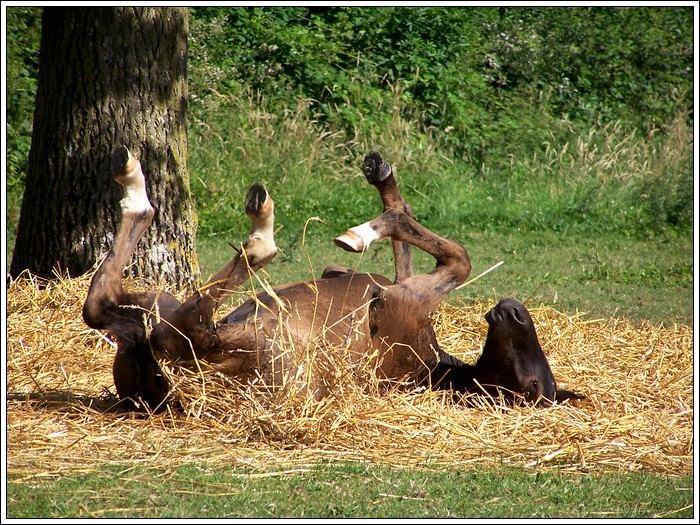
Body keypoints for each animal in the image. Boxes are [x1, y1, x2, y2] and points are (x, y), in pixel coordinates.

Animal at [85, 146, 584, 410]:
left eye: (532, 388)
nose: (512, 310)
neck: (433, 367)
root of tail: (164, 395)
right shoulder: (387, 284)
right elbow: (409, 230)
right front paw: (379, 180)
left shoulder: (399, 301)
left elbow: (457, 256)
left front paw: (362, 231)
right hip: (154, 311)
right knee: (104, 305)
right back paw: (132, 181)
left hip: (217, 341)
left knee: (181, 321)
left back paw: (258, 229)